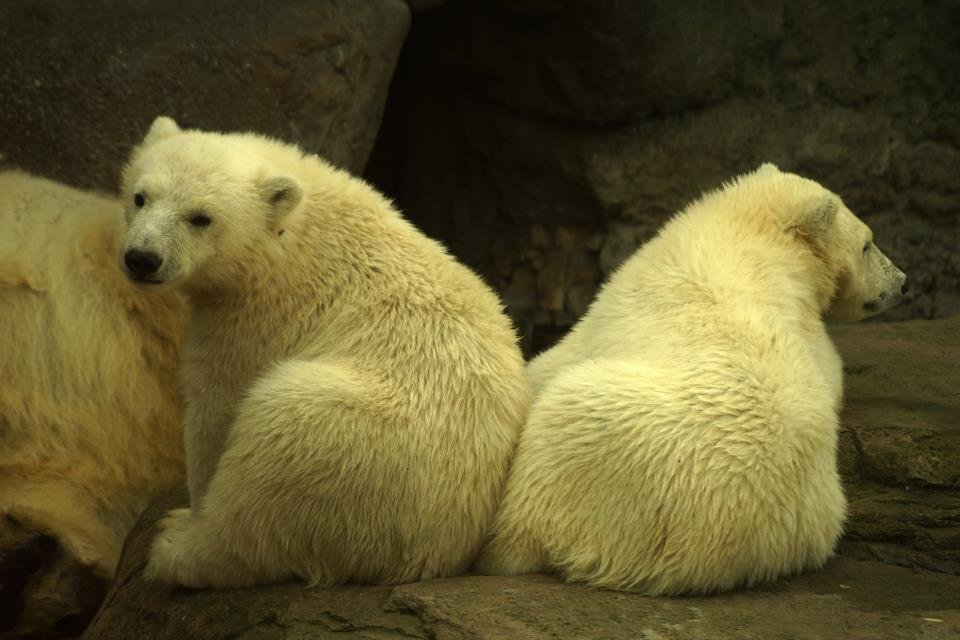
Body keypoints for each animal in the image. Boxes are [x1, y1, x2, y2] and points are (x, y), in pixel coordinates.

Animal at [118, 116, 532, 592]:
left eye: (201, 218)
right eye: (140, 196)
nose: (142, 258)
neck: (293, 235)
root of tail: (430, 554)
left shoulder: (254, 320)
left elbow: (214, 409)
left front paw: (190, 509)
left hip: (344, 445)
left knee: (266, 475)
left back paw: (176, 549)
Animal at [476, 164, 912, 596]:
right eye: (868, 244)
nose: (903, 281)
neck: (748, 236)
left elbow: (555, 361)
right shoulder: (808, 338)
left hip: (593, 444)